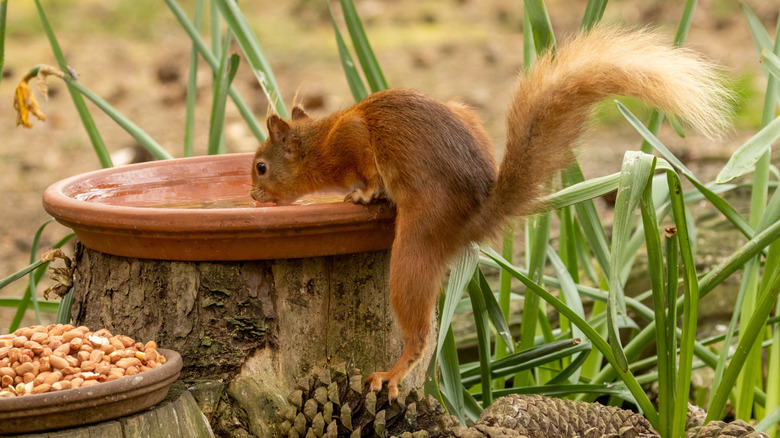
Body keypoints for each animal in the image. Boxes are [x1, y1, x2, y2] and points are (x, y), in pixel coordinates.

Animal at [250, 27, 732, 399]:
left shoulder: (353, 140)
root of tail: (474, 217)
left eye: (260, 166)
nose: (253, 197)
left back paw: (392, 373)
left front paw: (361, 195)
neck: (320, 141)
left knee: (421, 332)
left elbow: (367, 171)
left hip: (413, 245)